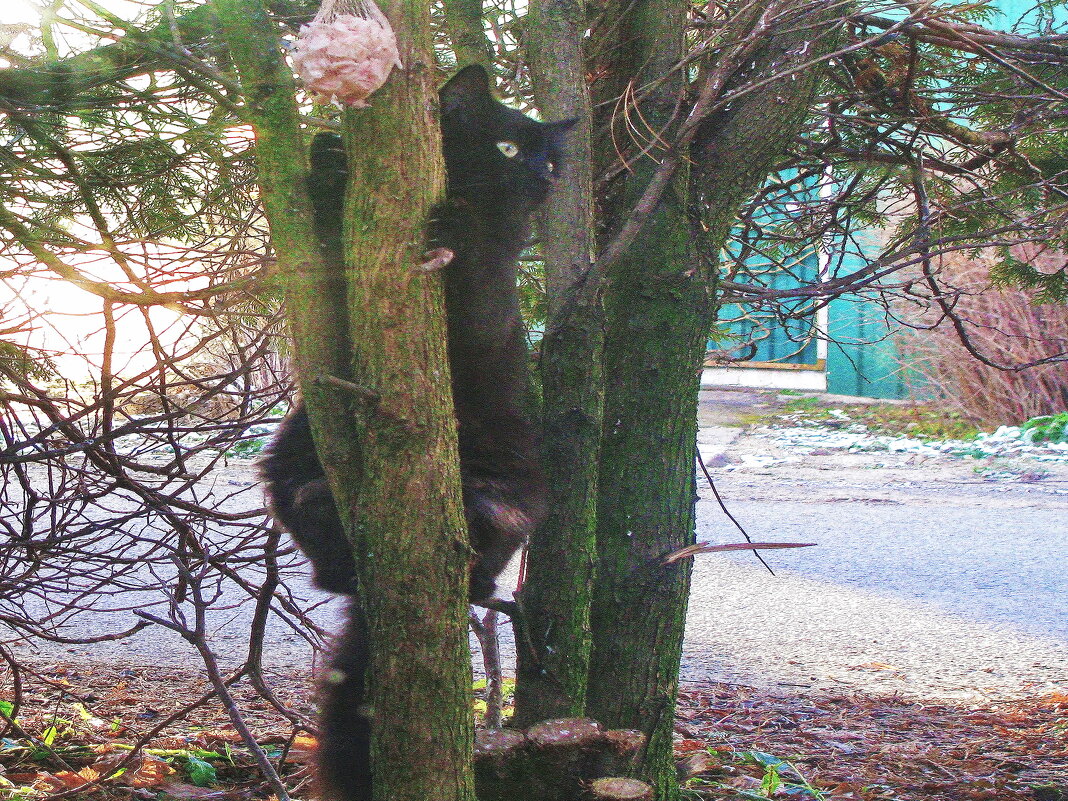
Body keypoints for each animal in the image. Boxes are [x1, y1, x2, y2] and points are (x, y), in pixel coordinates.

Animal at [261, 65, 572, 801]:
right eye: (510, 148)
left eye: (551, 160)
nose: (543, 178)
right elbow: (324, 247)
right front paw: (328, 161)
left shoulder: (489, 300)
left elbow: (476, 273)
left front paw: (455, 225)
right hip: (287, 456)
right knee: (323, 563)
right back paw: (328, 514)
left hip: (501, 498)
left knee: (480, 579)